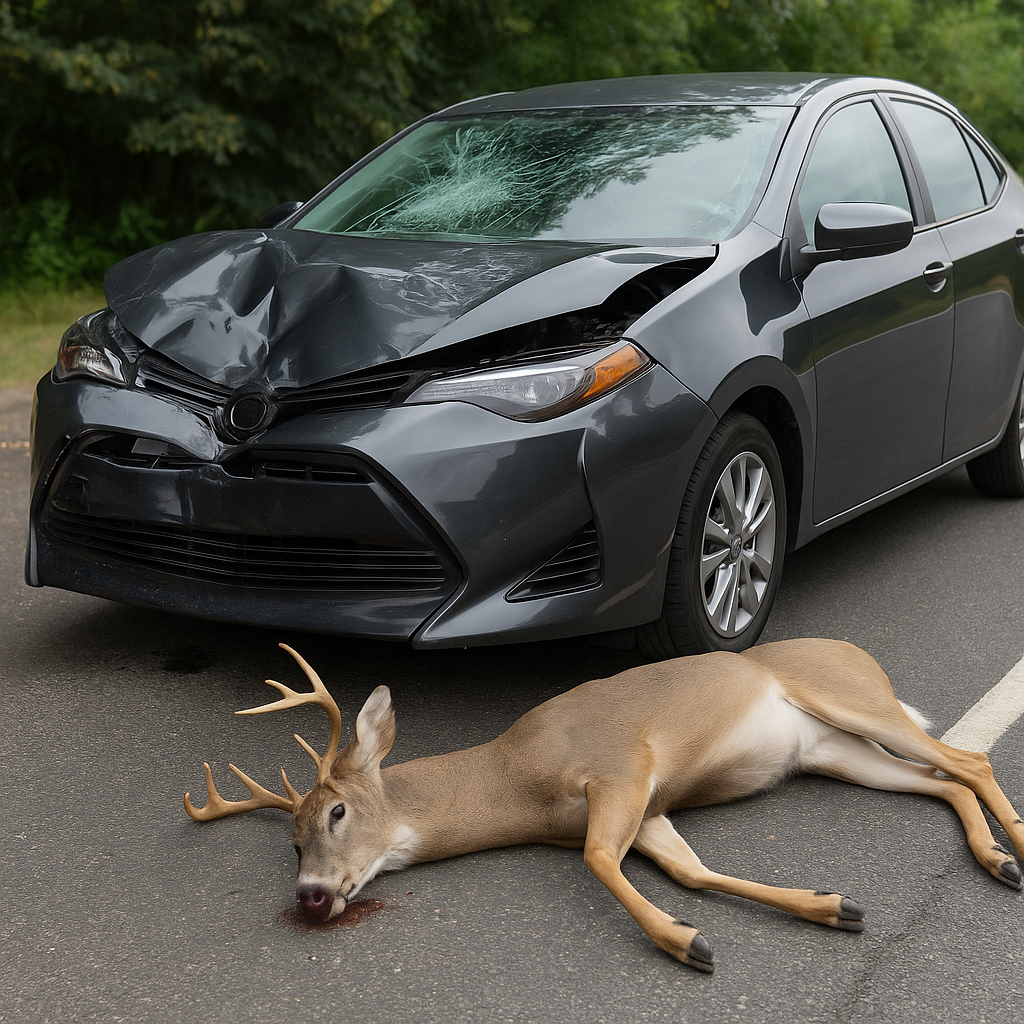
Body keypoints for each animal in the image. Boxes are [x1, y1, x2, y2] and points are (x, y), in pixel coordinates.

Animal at [184, 640, 1024, 973]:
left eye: (335, 814)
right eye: (290, 844)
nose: (310, 895)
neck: (515, 777)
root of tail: (863, 655)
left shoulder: (622, 768)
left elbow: (598, 860)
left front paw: (686, 943)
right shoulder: (646, 807)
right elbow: (690, 872)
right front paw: (830, 905)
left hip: (852, 701)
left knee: (967, 758)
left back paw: (1013, 848)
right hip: (831, 751)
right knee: (947, 779)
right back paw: (995, 858)